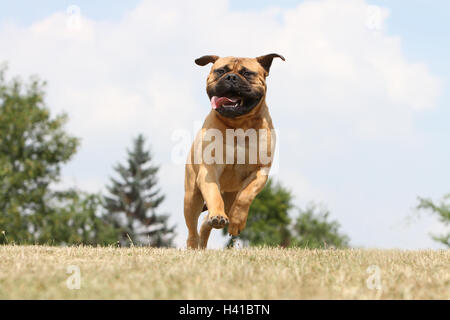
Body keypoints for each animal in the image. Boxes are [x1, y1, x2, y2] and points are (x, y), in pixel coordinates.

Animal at [184, 52, 284, 249]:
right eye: (221, 71)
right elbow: (213, 194)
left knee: (205, 224)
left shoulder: (260, 171)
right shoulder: (209, 170)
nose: (231, 77)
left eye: (247, 73)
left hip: (229, 197)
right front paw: (218, 215)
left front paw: (237, 222)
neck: (239, 124)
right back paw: (195, 244)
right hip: (191, 196)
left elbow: (246, 196)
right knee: (192, 228)